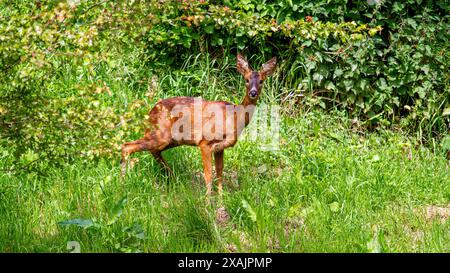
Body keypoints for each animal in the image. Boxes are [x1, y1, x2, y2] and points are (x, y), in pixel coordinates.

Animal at [121, 54, 276, 194]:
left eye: (261, 81)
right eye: (246, 79)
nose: (253, 93)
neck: (233, 118)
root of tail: (151, 112)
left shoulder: (219, 148)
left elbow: (220, 172)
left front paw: (221, 199)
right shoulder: (204, 142)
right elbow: (208, 175)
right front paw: (208, 202)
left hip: (172, 139)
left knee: (152, 151)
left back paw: (173, 179)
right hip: (161, 134)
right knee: (127, 146)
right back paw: (123, 183)